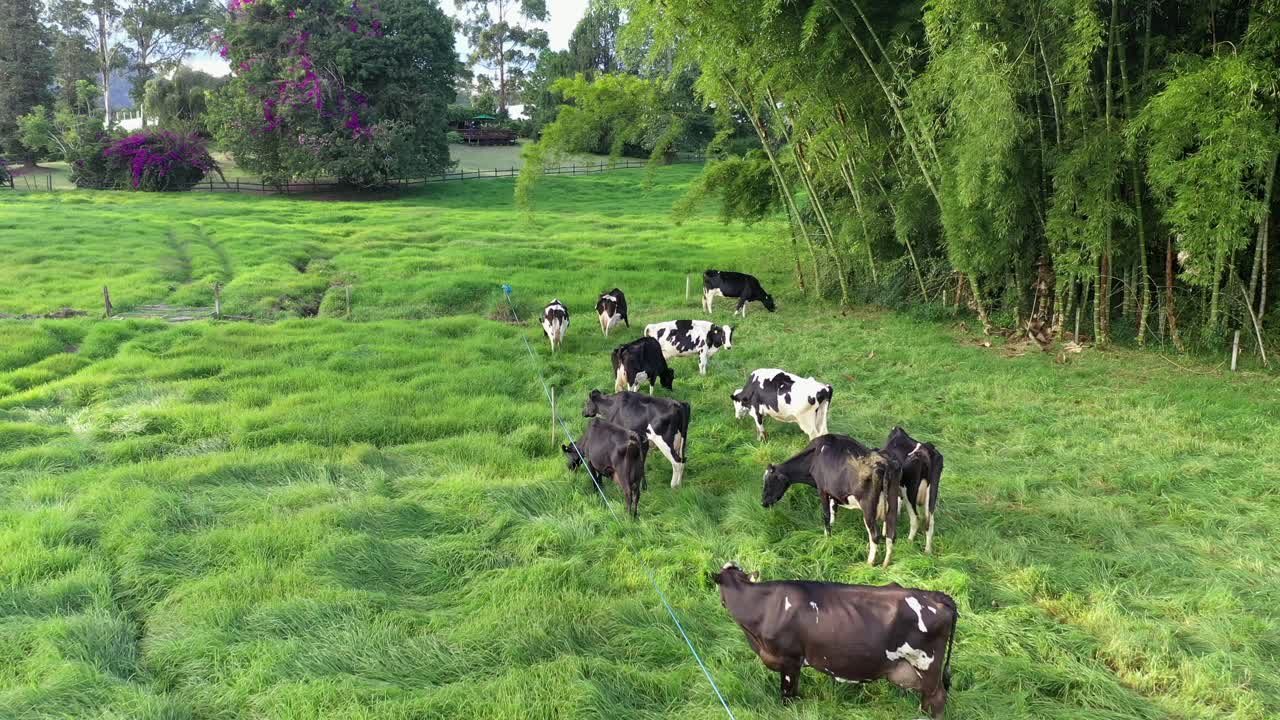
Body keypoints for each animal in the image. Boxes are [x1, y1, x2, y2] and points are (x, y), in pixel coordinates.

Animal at [761, 434, 902, 567]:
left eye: (769, 482)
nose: (763, 503)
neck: (814, 456)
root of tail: (884, 463)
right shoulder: (833, 492)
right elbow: (833, 507)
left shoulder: (822, 489)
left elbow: (826, 514)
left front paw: (827, 537)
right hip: (892, 502)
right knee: (891, 533)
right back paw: (886, 564)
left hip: (868, 506)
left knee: (875, 535)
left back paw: (870, 563)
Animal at [882, 426, 943, 555]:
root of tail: (927, 449)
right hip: (932, 493)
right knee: (929, 522)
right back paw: (927, 551)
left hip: (909, 492)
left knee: (916, 518)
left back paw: (908, 542)